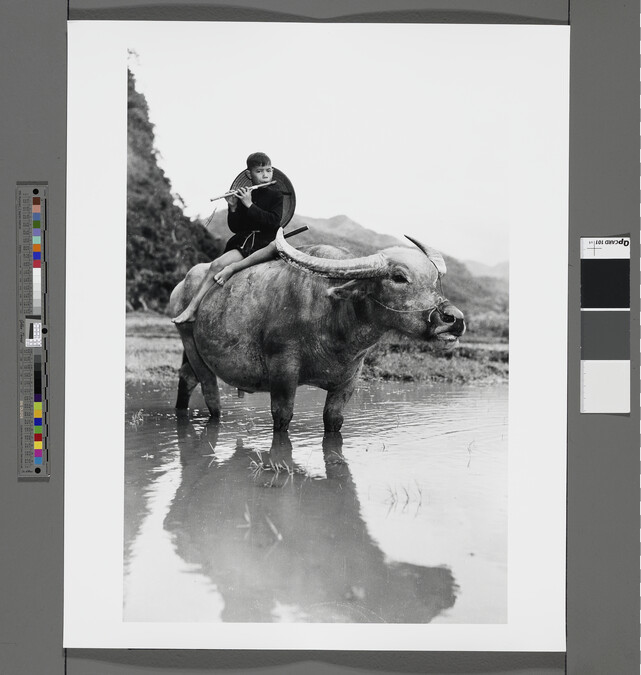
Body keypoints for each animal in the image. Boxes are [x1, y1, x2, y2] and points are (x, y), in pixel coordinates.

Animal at [168, 231, 462, 434]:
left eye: (435, 280)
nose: (454, 319)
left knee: (186, 378)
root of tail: (182, 285)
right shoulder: (283, 371)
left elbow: (334, 420)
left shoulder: (349, 380)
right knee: (210, 394)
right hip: (190, 343)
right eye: (399, 277)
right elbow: (282, 418)